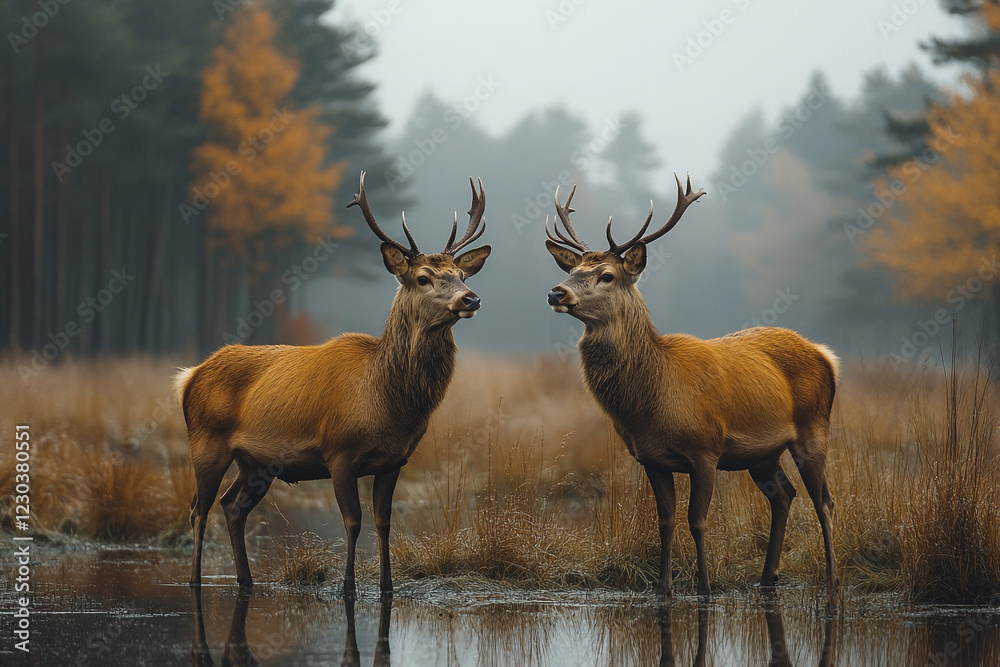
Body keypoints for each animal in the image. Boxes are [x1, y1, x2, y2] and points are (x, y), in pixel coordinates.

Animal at [174, 171, 491, 595]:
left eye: (460, 275)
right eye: (423, 278)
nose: (470, 299)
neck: (387, 400)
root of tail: (189, 377)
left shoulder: (395, 460)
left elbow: (384, 522)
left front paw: (388, 587)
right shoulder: (339, 450)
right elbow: (353, 520)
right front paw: (348, 586)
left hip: (255, 461)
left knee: (231, 505)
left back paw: (247, 579)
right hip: (206, 442)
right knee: (198, 507)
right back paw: (195, 581)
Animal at [544, 174, 839, 596]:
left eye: (607, 275)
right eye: (573, 271)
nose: (556, 292)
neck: (652, 400)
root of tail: (825, 355)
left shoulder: (706, 449)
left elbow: (697, 520)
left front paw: (705, 586)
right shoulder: (651, 458)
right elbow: (665, 521)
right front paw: (663, 587)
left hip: (814, 428)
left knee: (823, 500)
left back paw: (831, 579)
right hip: (763, 453)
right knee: (784, 495)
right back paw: (768, 577)